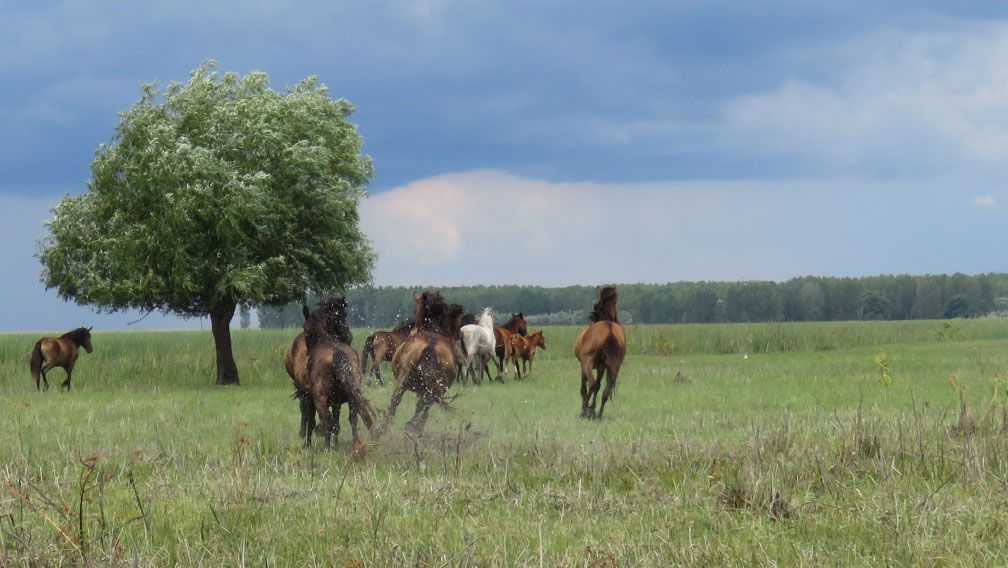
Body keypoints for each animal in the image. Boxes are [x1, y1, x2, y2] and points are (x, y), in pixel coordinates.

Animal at [301, 298, 376, 449]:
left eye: (305, 328)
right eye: (343, 315)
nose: (349, 336)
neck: (324, 339)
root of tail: (337, 352)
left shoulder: (311, 398)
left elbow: (313, 420)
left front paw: (309, 445)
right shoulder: (337, 401)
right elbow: (337, 420)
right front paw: (335, 445)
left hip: (319, 398)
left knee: (327, 418)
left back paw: (327, 448)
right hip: (352, 397)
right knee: (352, 418)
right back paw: (356, 445)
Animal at [376, 291, 464, 437]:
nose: (459, 335)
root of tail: (430, 346)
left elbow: (419, 405)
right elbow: (421, 406)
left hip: (404, 380)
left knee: (396, 401)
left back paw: (383, 428)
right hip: (433, 386)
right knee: (426, 404)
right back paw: (414, 427)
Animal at [573, 287, 626, 420]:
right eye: (615, 302)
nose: (617, 319)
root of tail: (609, 328)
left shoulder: (584, 365)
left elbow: (584, 388)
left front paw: (588, 409)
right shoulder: (602, 368)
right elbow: (598, 387)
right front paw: (593, 409)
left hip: (587, 363)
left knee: (592, 385)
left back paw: (585, 411)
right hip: (614, 367)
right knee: (605, 390)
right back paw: (598, 413)